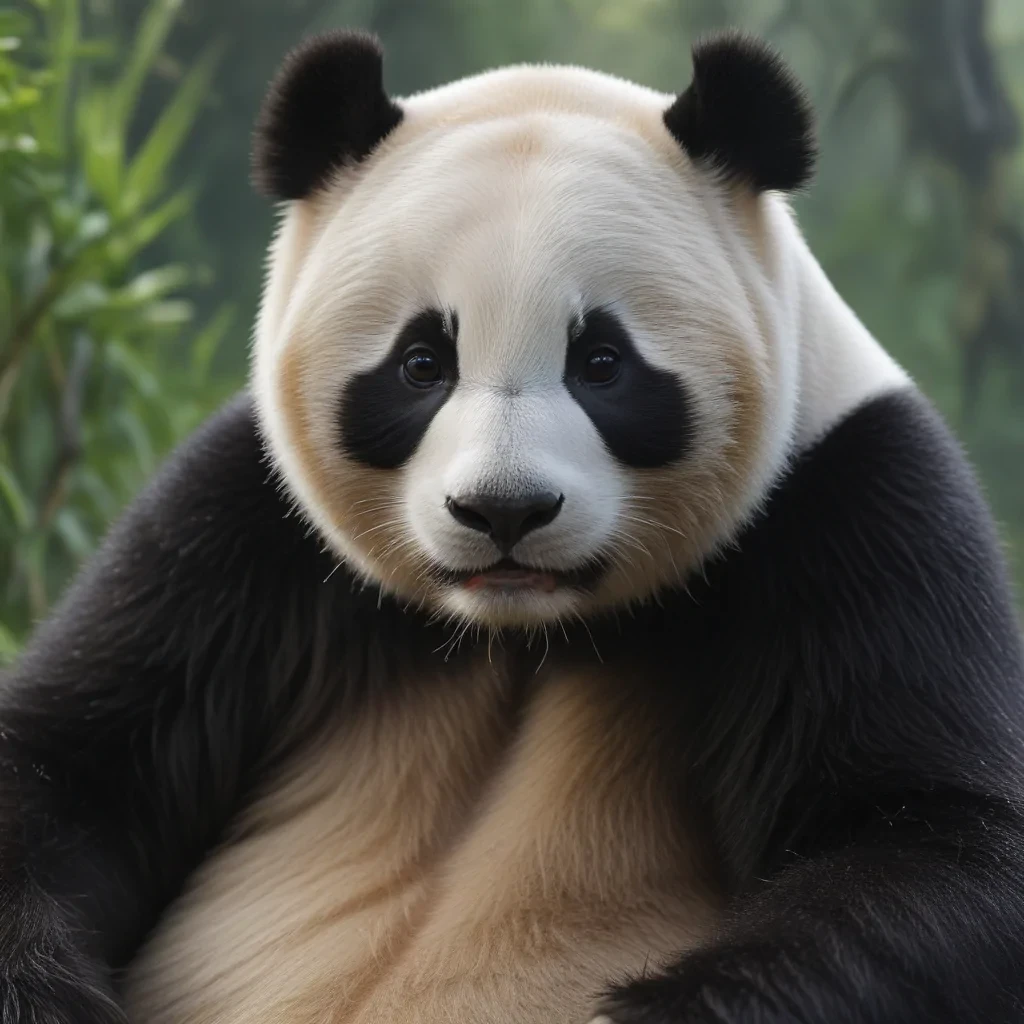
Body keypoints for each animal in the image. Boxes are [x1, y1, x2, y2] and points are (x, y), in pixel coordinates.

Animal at [2, 25, 1024, 1024]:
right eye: (421, 363)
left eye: (603, 362)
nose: (504, 510)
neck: (521, 629)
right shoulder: (236, 532)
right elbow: (68, 762)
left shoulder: (852, 504)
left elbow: (931, 845)